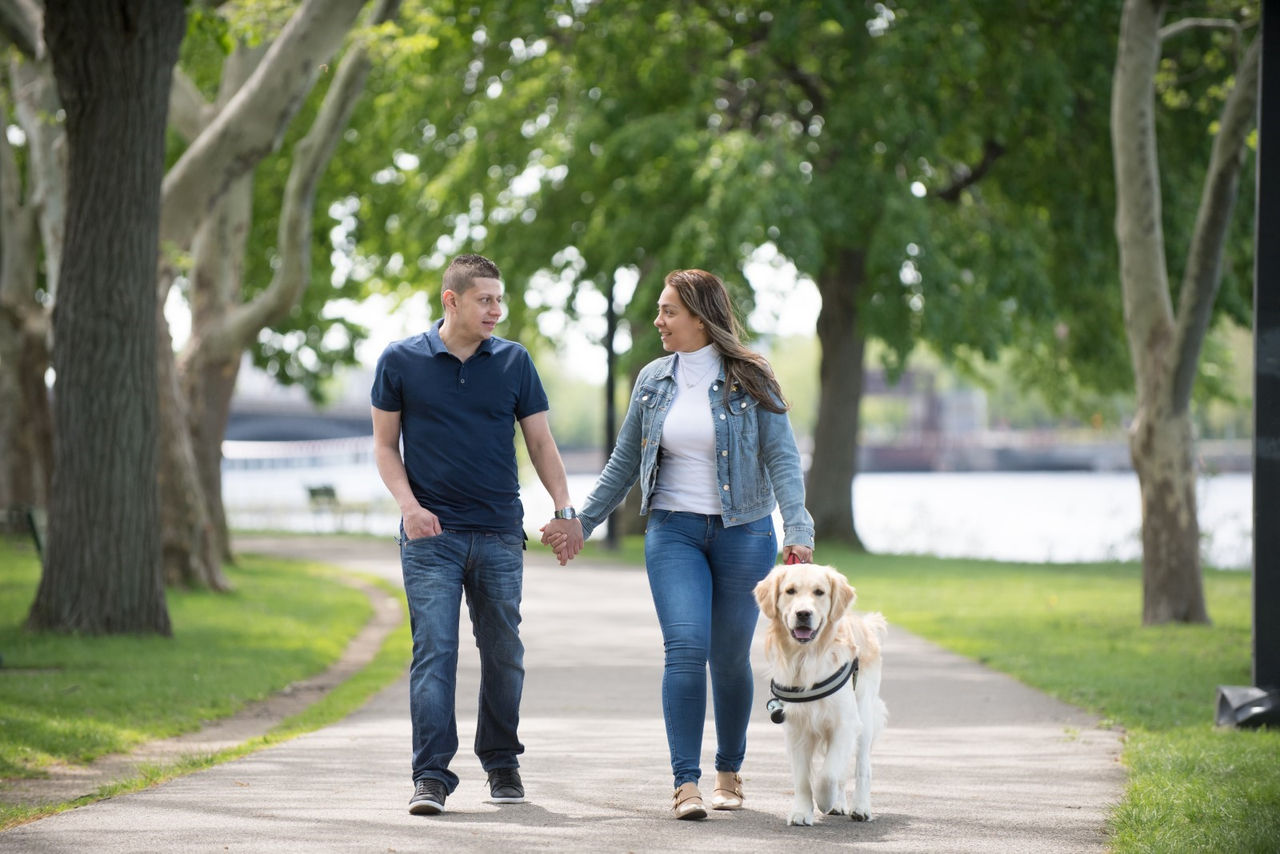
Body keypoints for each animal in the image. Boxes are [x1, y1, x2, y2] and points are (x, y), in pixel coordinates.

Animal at [747, 563, 890, 824]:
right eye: (790, 591)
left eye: (819, 592)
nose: (803, 613)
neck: (806, 658)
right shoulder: (797, 727)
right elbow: (803, 778)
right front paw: (802, 812)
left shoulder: (845, 723)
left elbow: (828, 774)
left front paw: (824, 800)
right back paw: (840, 804)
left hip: (865, 715)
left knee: (862, 766)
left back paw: (860, 807)